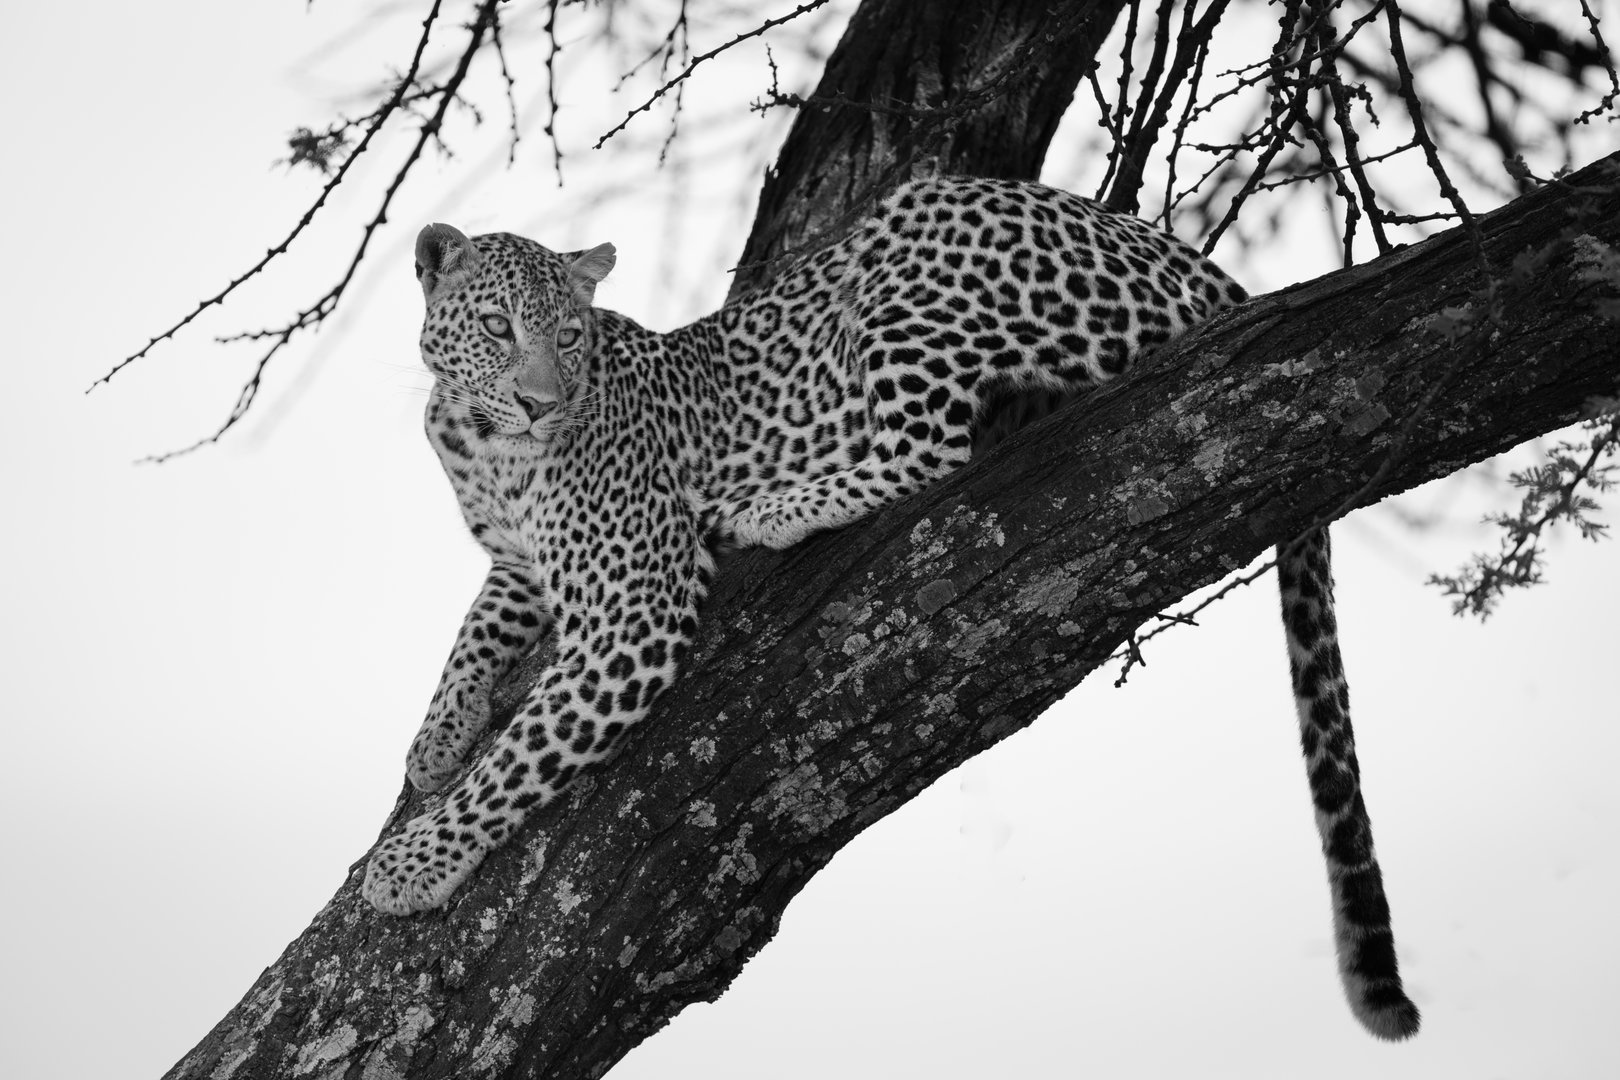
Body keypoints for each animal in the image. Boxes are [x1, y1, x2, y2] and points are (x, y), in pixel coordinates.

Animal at [361, 175, 1420, 1041]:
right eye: (500, 328)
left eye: (570, 336)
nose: (541, 402)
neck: (480, 442)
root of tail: (1200, 262)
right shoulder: (521, 568)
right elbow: (469, 639)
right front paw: (433, 741)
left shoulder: (636, 607)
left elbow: (520, 758)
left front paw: (412, 862)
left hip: (918, 247)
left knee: (929, 450)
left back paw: (772, 507)